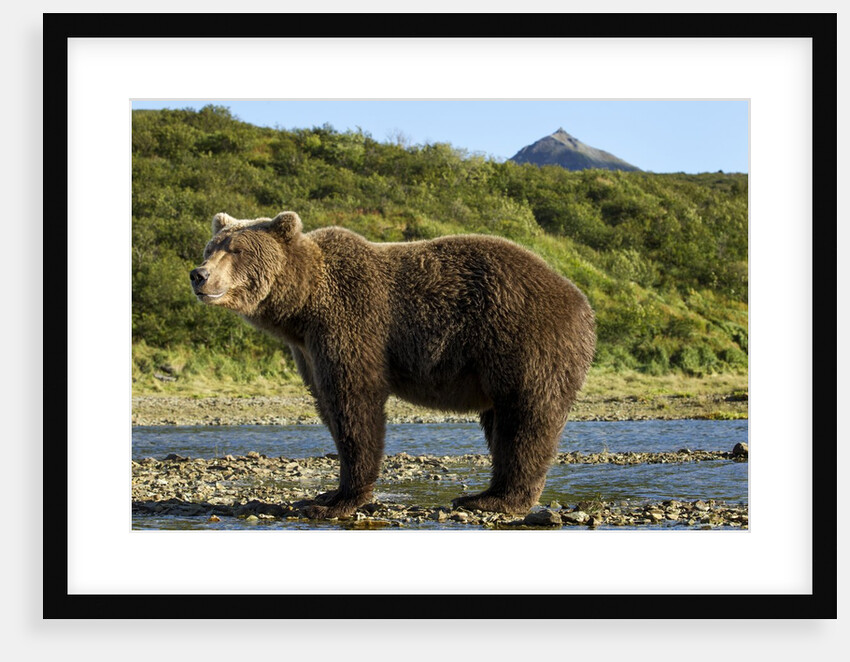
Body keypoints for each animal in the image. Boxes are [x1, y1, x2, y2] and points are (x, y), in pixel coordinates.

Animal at [190, 211, 595, 519]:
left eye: (237, 249)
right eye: (211, 247)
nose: (199, 274)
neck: (302, 307)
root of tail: (581, 301)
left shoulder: (351, 320)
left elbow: (355, 401)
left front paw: (338, 500)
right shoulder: (307, 349)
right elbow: (328, 405)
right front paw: (325, 494)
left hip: (523, 340)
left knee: (525, 418)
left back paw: (496, 499)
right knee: (501, 420)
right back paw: (485, 494)